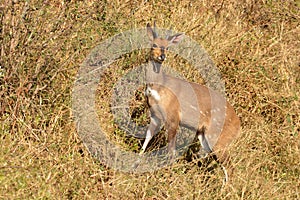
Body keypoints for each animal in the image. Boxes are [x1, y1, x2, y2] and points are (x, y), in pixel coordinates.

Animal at [139, 21, 240, 183]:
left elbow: (171, 148)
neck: (158, 88)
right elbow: (148, 135)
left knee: (229, 166)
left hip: (218, 138)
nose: (162, 56)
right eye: (154, 44)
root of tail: (239, 125)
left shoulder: (173, 116)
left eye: (167, 47)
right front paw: (138, 158)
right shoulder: (155, 115)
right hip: (204, 136)